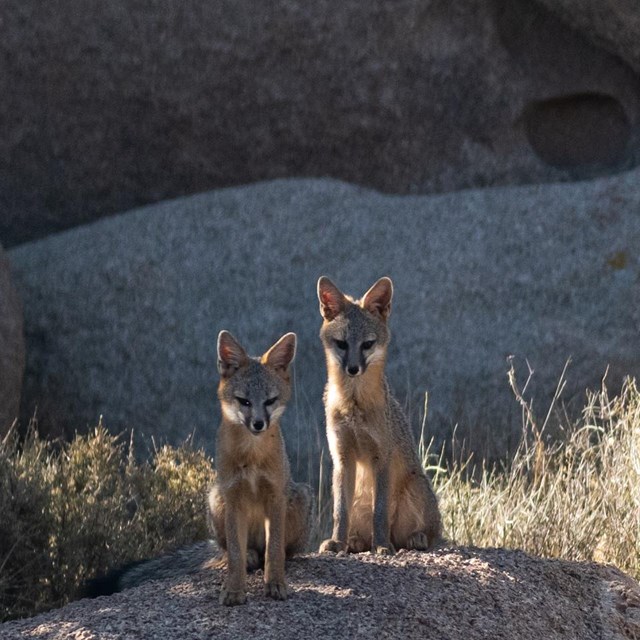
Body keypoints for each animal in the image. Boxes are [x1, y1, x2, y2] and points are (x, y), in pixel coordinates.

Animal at [208, 330, 312, 604]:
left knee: (280, 551)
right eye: (243, 401)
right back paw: (248, 558)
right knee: (234, 550)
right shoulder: (233, 497)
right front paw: (234, 589)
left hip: (299, 498)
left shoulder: (275, 497)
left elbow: (274, 550)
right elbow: (235, 553)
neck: (252, 457)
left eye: (270, 401)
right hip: (216, 498)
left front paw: (275, 584)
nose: (258, 424)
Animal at [318, 276, 442, 556]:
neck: (353, 405)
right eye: (342, 344)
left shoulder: (382, 456)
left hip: (416, 488)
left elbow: (381, 512)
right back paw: (354, 542)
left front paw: (382, 545)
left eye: (367, 344)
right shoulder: (342, 457)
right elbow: (340, 512)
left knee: (424, 535)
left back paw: (412, 539)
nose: (353, 368)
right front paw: (337, 542)